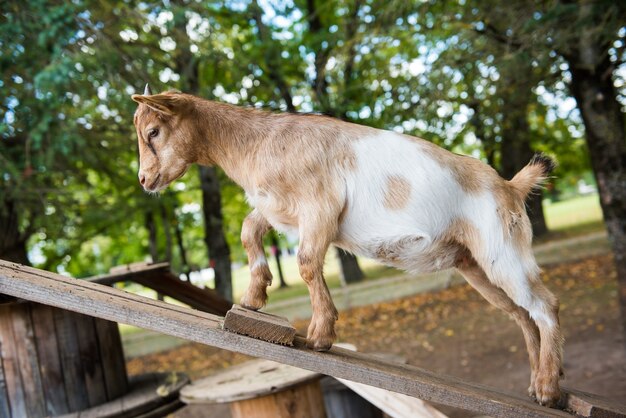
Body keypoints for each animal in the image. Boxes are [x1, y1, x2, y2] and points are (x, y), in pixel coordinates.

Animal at [130, 87, 560, 404]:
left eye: (153, 132)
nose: (144, 180)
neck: (260, 141)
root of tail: (510, 186)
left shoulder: (320, 208)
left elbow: (306, 262)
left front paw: (319, 335)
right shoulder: (279, 208)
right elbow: (249, 230)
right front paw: (254, 296)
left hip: (502, 249)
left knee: (545, 305)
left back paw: (548, 389)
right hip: (474, 264)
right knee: (521, 315)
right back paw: (536, 382)